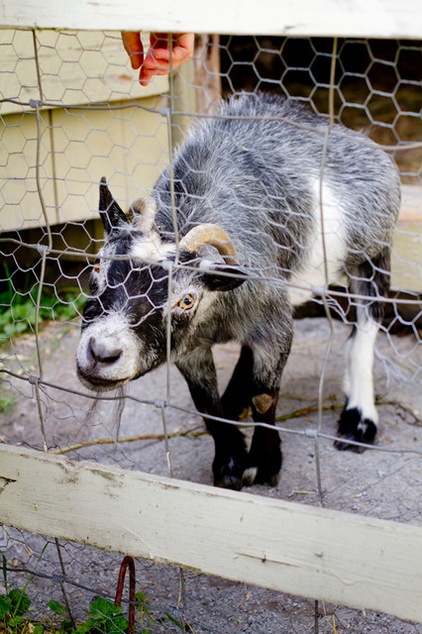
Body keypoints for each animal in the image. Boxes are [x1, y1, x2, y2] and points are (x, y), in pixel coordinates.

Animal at [76, 92, 402, 488]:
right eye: (96, 266)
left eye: (186, 299)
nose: (102, 353)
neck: (216, 311)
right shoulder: (188, 345)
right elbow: (206, 404)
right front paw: (229, 463)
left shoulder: (273, 328)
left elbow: (265, 396)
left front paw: (263, 463)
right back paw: (236, 398)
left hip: (373, 254)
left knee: (367, 328)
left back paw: (359, 420)